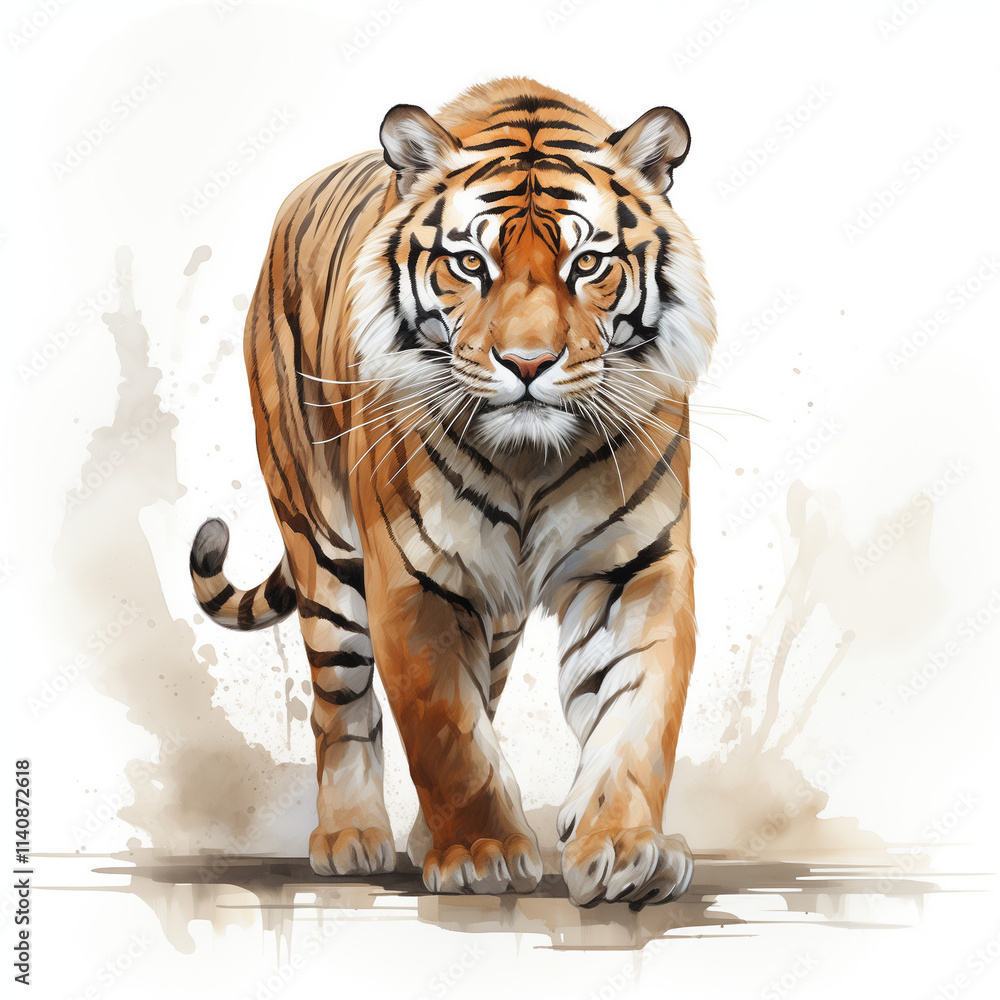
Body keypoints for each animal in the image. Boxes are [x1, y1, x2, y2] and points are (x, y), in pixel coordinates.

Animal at [190, 77, 715, 908]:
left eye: (587, 263)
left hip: (494, 607)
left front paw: (625, 848)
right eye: (470, 262)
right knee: (341, 704)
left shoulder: (635, 566)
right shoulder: (413, 575)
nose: (527, 363)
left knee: (487, 688)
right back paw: (351, 838)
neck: (530, 459)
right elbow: (443, 727)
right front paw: (480, 852)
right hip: (322, 550)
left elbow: (636, 713)